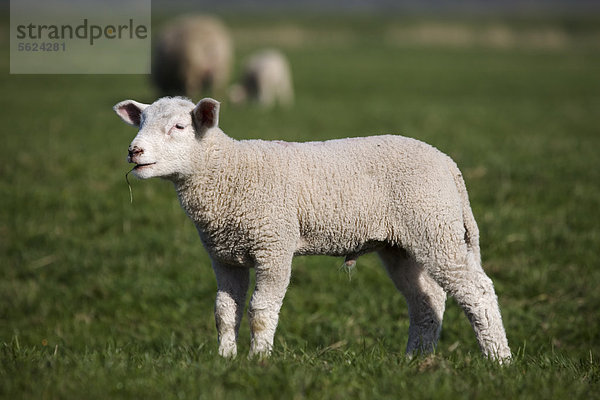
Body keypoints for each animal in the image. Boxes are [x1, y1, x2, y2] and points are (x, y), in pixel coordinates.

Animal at [113, 95, 510, 360]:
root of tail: (448, 163)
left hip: (434, 225)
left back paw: (498, 360)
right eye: (140, 122)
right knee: (427, 302)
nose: (134, 151)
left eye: (179, 127)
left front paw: (259, 360)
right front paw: (225, 360)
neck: (228, 172)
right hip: (402, 244)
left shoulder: (273, 244)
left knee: (477, 291)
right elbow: (224, 312)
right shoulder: (224, 256)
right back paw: (415, 360)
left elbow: (260, 310)